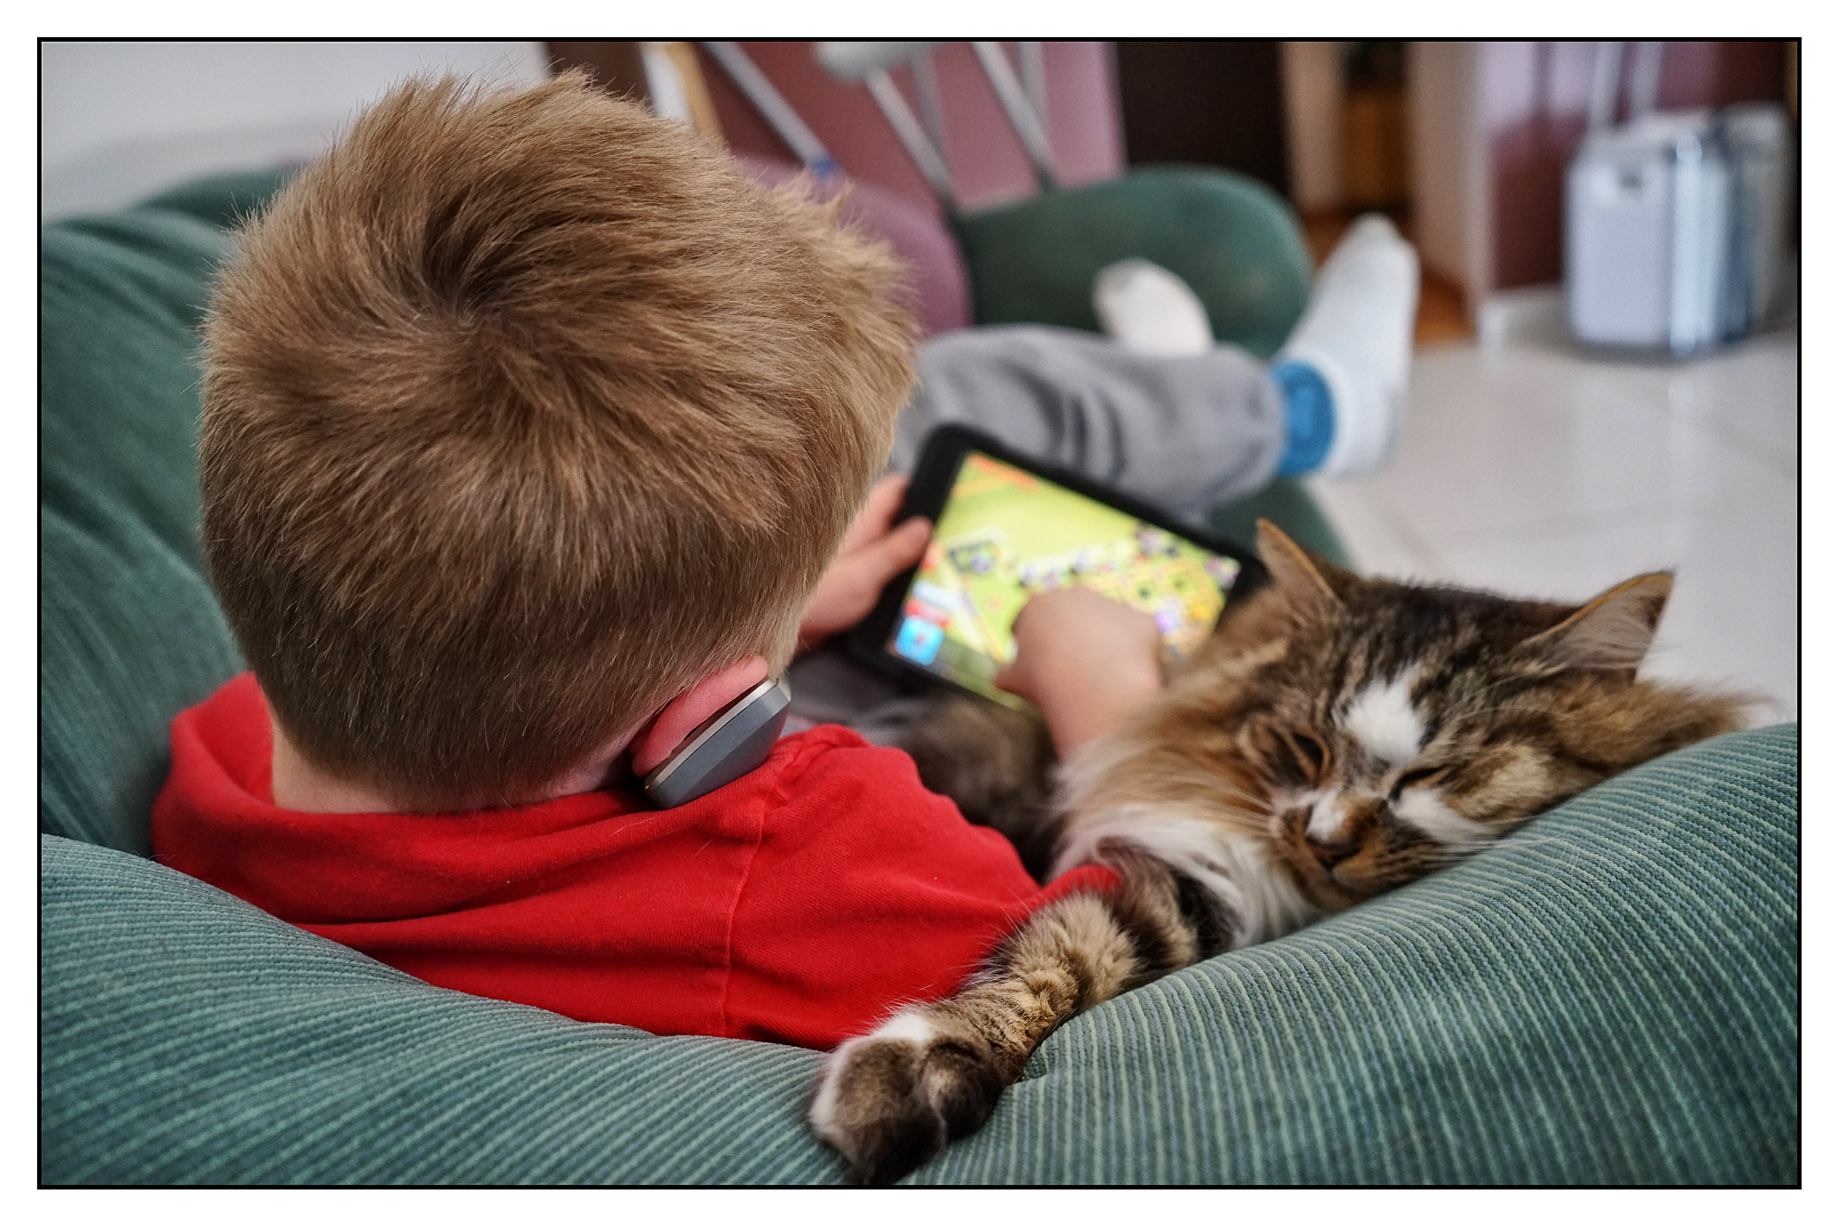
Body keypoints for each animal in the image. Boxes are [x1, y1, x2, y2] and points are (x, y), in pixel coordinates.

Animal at [808, 520, 1748, 1183]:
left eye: (1433, 774)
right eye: (1305, 749)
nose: (1325, 843)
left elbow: (1066, 947)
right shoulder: (1190, 877)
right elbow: (1052, 961)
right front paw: (921, 1070)